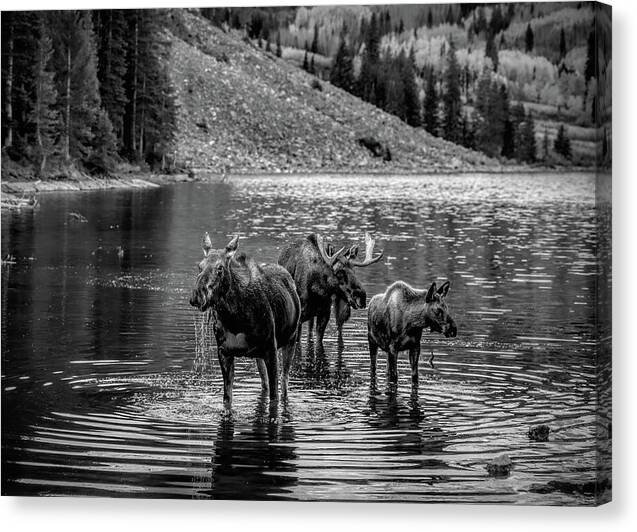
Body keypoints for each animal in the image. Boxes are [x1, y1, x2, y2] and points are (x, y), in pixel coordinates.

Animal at [189, 233, 300, 412]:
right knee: (265, 384)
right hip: (259, 355)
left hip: (291, 340)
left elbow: (274, 398)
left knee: (284, 384)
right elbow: (227, 399)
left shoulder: (271, 349)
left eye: (220, 268)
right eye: (200, 266)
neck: (235, 318)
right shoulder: (224, 352)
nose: (197, 296)